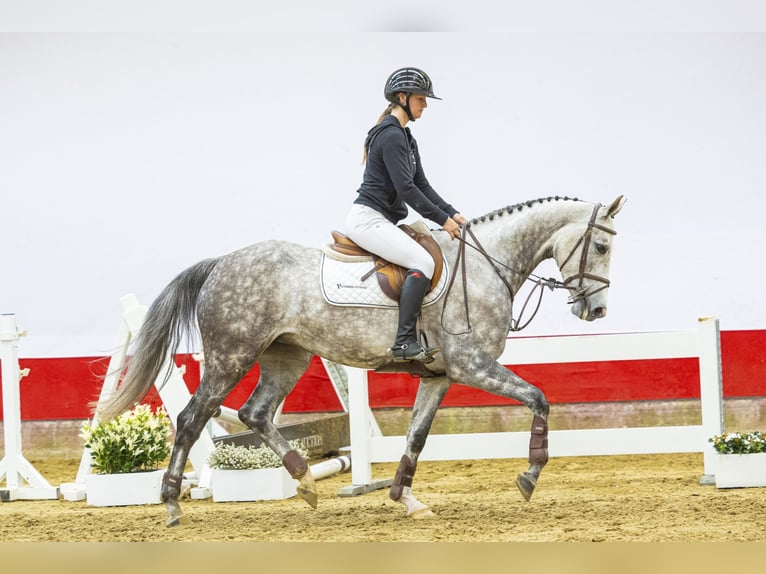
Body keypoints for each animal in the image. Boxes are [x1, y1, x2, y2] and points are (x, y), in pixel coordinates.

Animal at [100, 196, 632, 528]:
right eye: (601, 246)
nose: (596, 311)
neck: (486, 265)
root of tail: (220, 263)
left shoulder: (440, 377)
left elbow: (416, 436)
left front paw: (406, 499)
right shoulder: (472, 366)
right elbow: (539, 399)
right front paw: (528, 477)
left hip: (286, 357)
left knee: (255, 413)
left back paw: (306, 481)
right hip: (230, 356)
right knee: (193, 418)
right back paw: (172, 504)